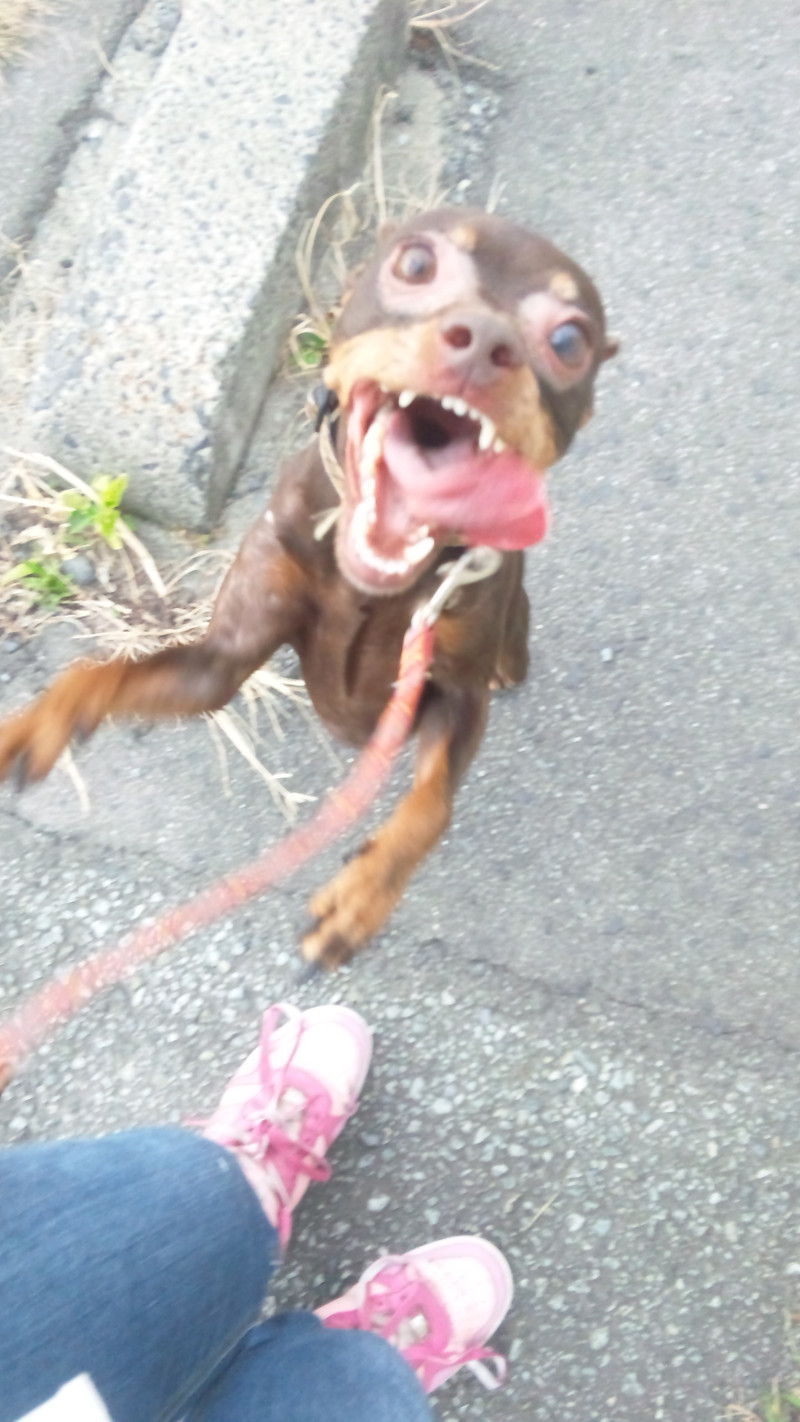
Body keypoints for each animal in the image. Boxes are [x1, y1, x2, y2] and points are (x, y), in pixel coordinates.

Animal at [0, 209, 616, 968]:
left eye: (568, 341)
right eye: (416, 264)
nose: (484, 342)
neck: (377, 584)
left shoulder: (458, 697)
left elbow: (432, 806)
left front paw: (362, 896)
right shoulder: (220, 664)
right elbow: (95, 675)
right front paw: (30, 729)